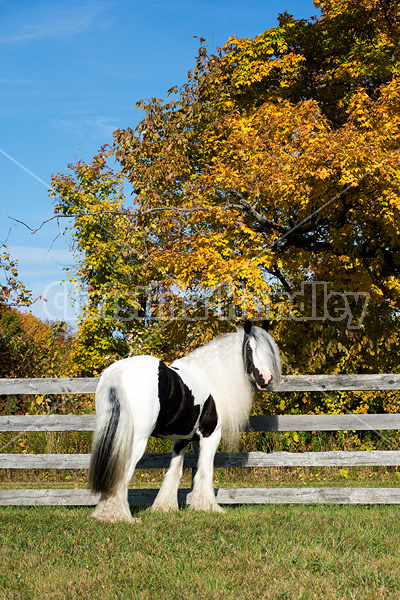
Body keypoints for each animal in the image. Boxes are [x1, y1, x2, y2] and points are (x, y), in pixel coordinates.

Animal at [87, 322, 282, 524]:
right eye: (249, 348)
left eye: (269, 350)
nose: (265, 379)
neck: (209, 376)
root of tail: (119, 373)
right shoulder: (211, 435)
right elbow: (205, 470)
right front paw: (208, 507)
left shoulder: (182, 439)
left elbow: (175, 471)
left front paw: (165, 508)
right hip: (136, 440)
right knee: (123, 473)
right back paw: (121, 517)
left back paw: (105, 514)